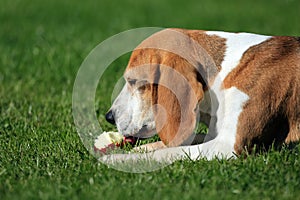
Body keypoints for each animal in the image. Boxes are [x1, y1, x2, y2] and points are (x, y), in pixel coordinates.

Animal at [103, 28, 300, 162]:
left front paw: (116, 159)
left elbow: (169, 152)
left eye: (133, 81)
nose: (109, 117)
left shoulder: (229, 146)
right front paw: (141, 149)